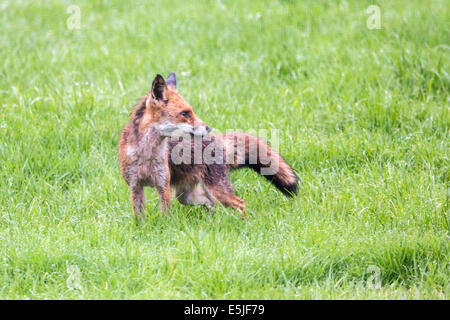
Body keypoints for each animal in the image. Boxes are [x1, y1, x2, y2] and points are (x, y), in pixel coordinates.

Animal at [118, 73, 298, 221]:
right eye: (185, 113)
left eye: (191, 111)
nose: (208, 128)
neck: (146, 153)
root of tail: (218, 139)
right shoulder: (135, 186)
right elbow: (140, 218)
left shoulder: (163, 185)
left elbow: (165, 216)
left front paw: (164, 229)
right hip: (186, 196)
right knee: (211, 204)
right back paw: (213, 221)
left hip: (216, 191)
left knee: (240, 203)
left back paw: (245, 225)